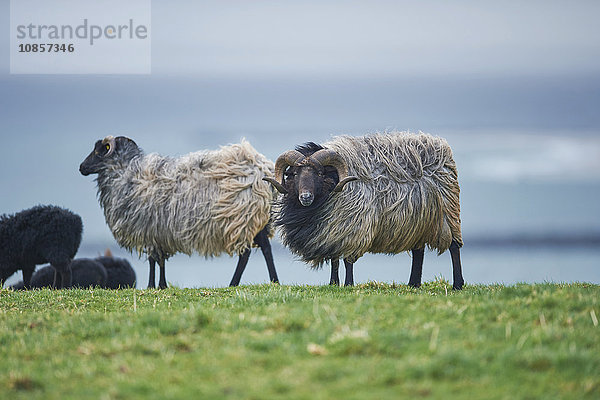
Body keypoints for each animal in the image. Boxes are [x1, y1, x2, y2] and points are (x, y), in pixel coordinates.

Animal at [78, 136, 282, 290]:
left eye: (99, 151)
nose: (81, 167)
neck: (124, 174)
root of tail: (263, 167)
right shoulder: (159, 231)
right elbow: (160, 261)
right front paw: (162, 285)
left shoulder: (147, 228)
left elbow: (152, 260)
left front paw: (152, 286)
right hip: (258, 219)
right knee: (266, 247)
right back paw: (274, 281)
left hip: (240, 218)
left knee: (245, 254)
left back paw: (233, 283)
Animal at [264, 133, 466, 290]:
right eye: (295, 174)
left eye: (320, 173)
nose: (305, 197)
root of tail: (441, 147)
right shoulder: (331, 231)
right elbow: (334, 260)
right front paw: (333, 284)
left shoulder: (353, 227)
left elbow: (348, 261)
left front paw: (348, 285)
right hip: (418, 221)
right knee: (418, 252)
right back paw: (413, 284)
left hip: (448, 213)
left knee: (454, 247)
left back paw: (457, 285)